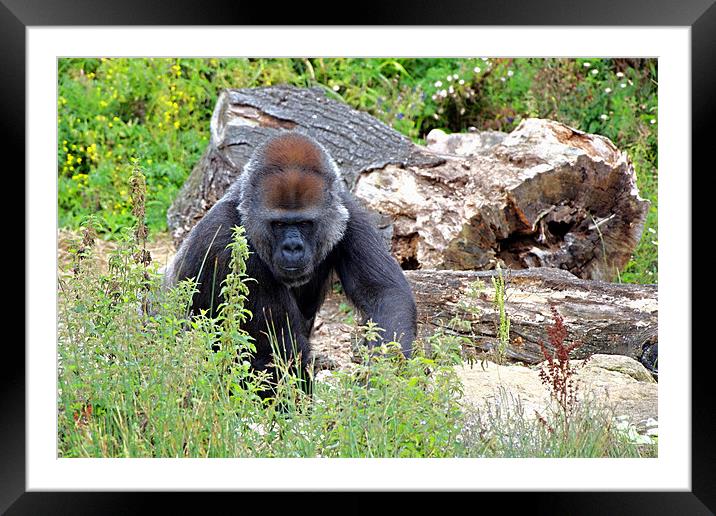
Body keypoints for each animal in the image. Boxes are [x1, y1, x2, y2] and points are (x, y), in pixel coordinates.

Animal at [164, 132, 416, 388]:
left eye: (305, 223)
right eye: (278, 224)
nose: (292, 247)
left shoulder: (347, 211)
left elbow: (384, 294)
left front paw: (382, 378)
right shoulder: (222, 239)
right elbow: (276, 351)